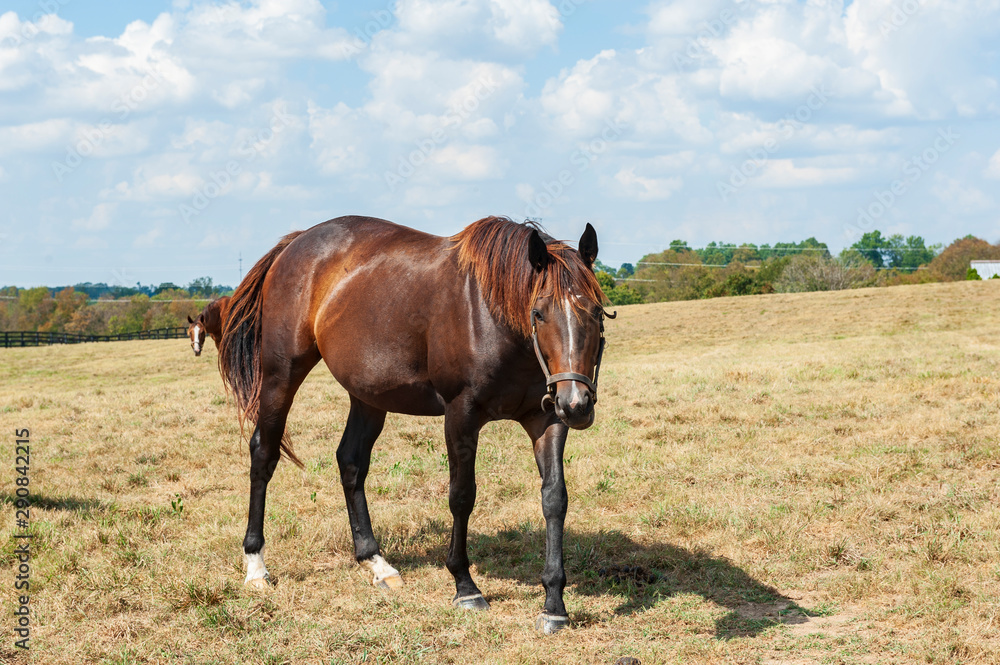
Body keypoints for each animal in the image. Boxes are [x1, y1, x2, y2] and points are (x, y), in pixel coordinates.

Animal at [218, 215, 613, 634]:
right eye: (538, 313)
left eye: (597, 312)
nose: (578, 405)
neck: (493, 317)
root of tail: (294, 244)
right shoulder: (461, 415)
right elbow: (462, 496)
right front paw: (465, 587)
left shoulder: (547, 419)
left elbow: (554, 498)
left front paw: (554, 603)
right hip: (280, 376)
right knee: (264, 454)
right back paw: (256, 566)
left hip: (368, 395)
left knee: (351, 462)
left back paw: (376, 563)